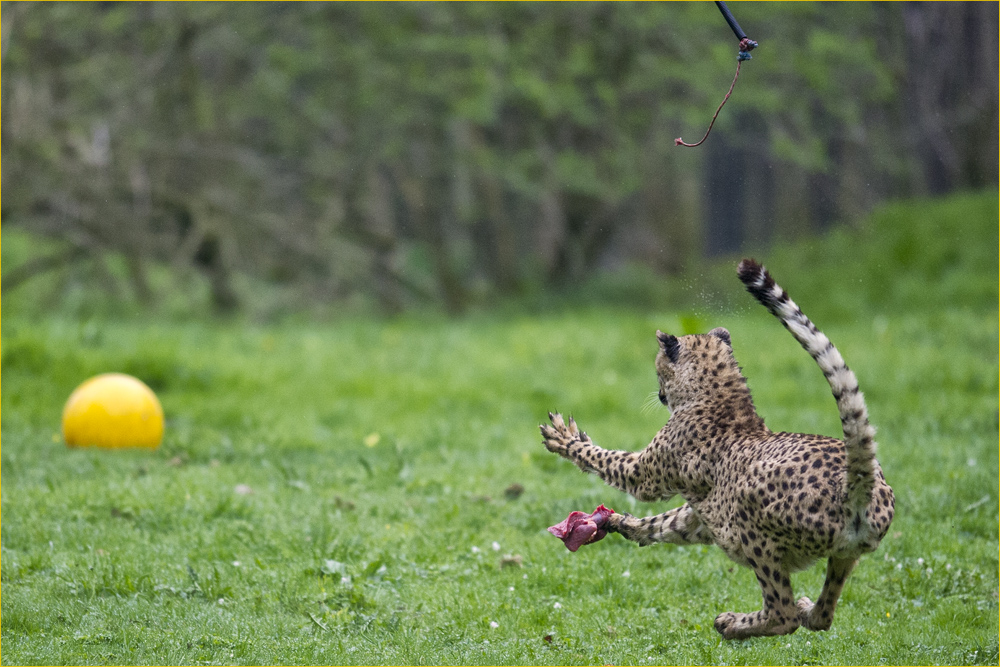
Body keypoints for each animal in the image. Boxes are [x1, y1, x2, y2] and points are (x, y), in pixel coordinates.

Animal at [544, 258, 896, 640]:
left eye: (658, 370)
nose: (659, 393)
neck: (720, 394)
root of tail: (857, 481)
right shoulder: (701, 514)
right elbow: (666, 523)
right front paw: (623, 523)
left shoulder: (646, 475)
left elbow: (606, 459)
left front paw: (565, 439)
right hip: (846, 553)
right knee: (824, 615)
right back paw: (808, 609)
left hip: (756, 524)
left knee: (781, 613)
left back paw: (733, 623)